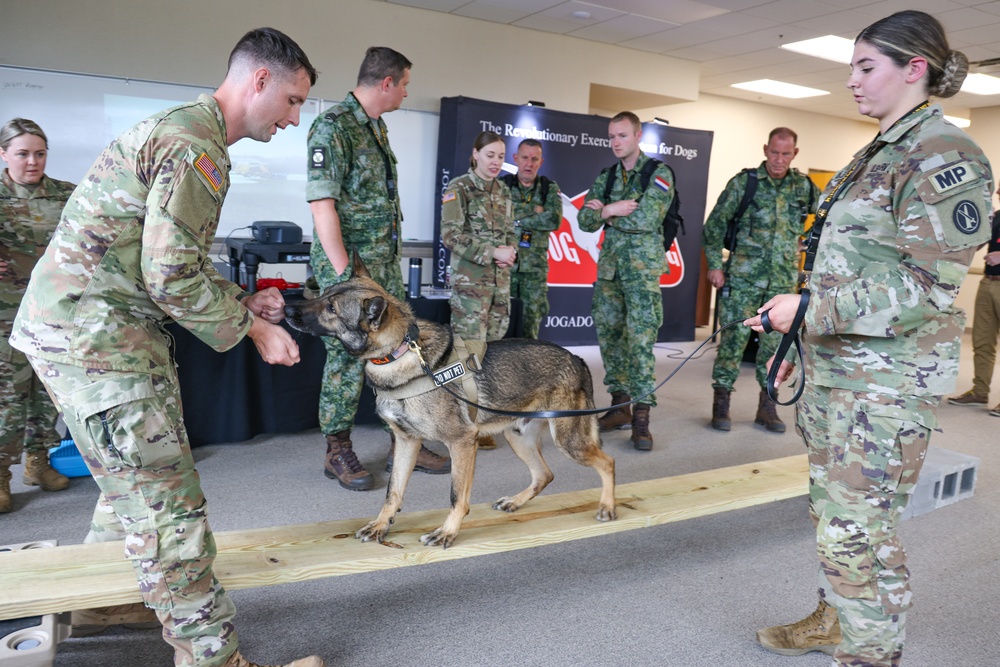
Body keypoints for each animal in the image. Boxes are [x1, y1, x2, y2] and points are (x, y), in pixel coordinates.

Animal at [280, 256, 608, 548]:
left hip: (569, 442)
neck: (400, 352)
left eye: (331, 308)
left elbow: (457, 496)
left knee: (607, 462)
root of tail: (577, 358)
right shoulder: (406, 442)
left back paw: (608, 506)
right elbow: (393, 492)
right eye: (324, 294)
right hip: (519, 439)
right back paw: (516, 502)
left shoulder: (462, 443)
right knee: (545, 474)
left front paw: (447, 532)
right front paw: (381, 524)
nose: (286, 307)